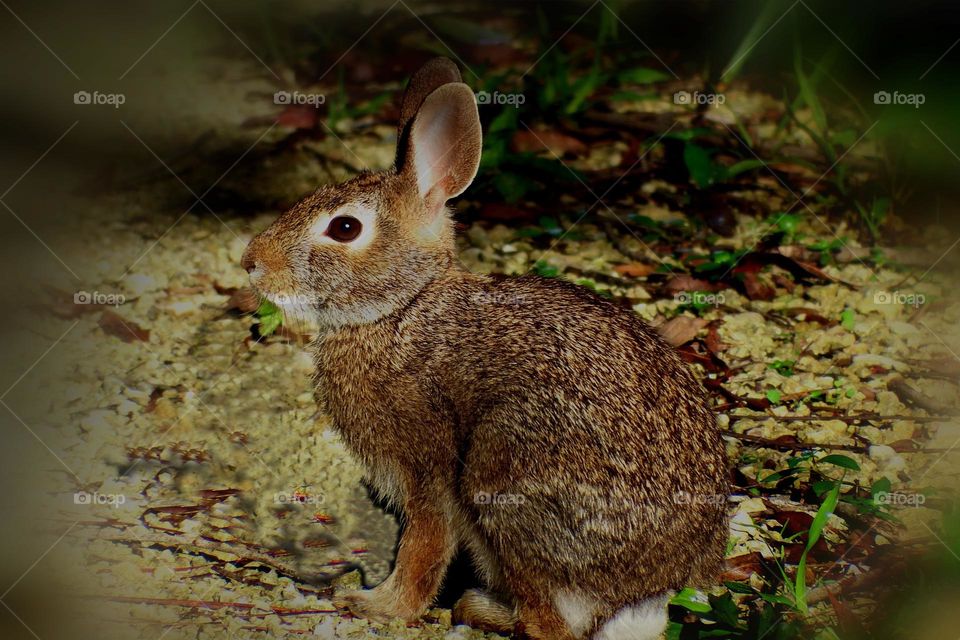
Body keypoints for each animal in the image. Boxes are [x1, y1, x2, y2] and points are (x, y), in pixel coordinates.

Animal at [242, 57, 728, 636]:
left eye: (344, 227)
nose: (251, 262)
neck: (402, 308)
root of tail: (647, 591)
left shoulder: (427, 463)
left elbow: (425, 544)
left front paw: (378, 606)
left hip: (504, 471)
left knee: (548, 623)